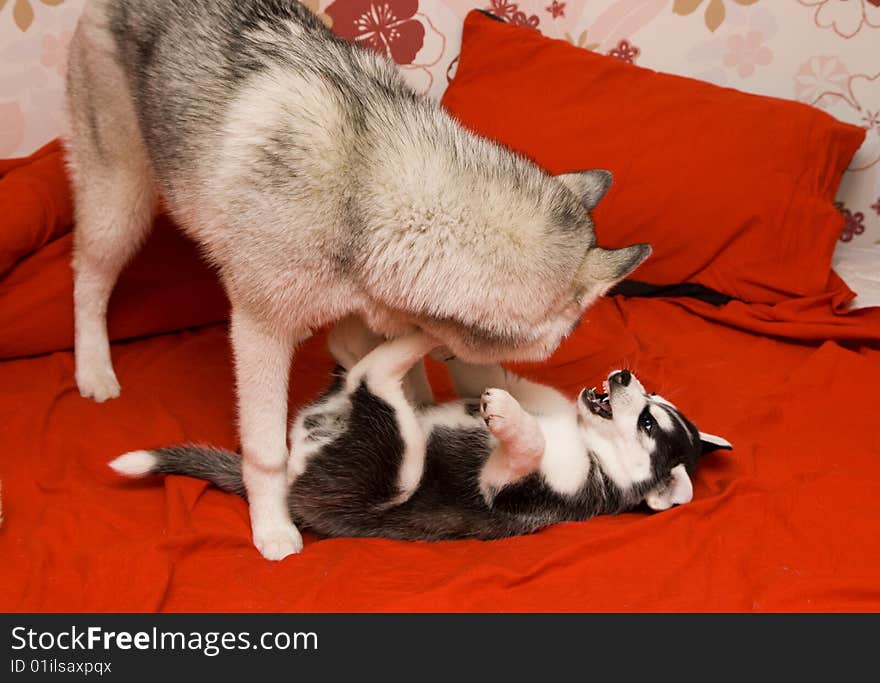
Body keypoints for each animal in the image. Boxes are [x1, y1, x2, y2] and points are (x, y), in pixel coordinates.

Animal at [65, 1, 648, 560]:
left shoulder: (365, 317)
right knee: (87, 283)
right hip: (121, 207)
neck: (368, 194)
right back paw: (94, 369)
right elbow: (266, 449)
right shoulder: (259, 330)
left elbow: (390, 370)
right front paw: (272, 526)